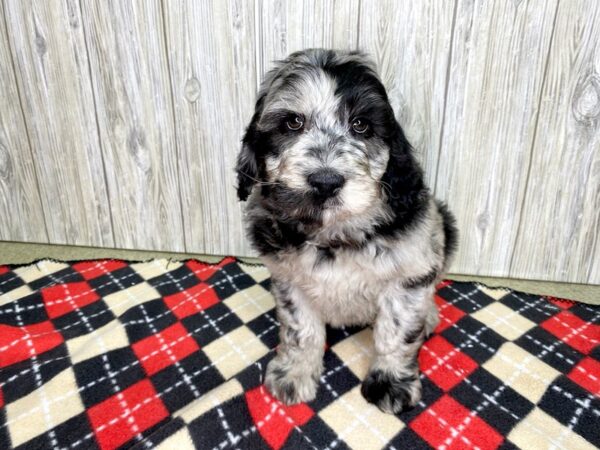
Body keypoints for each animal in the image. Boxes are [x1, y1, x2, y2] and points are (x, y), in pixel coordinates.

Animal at [237, 49, 458, 414]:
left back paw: (427, 317)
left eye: (361, 125)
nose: (325, 182)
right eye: (292, 123)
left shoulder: (410, 273)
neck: (334, 231)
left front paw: (390, 381)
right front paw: (295, 373)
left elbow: (396, 332)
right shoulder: (289, 280)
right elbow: (301, 330)